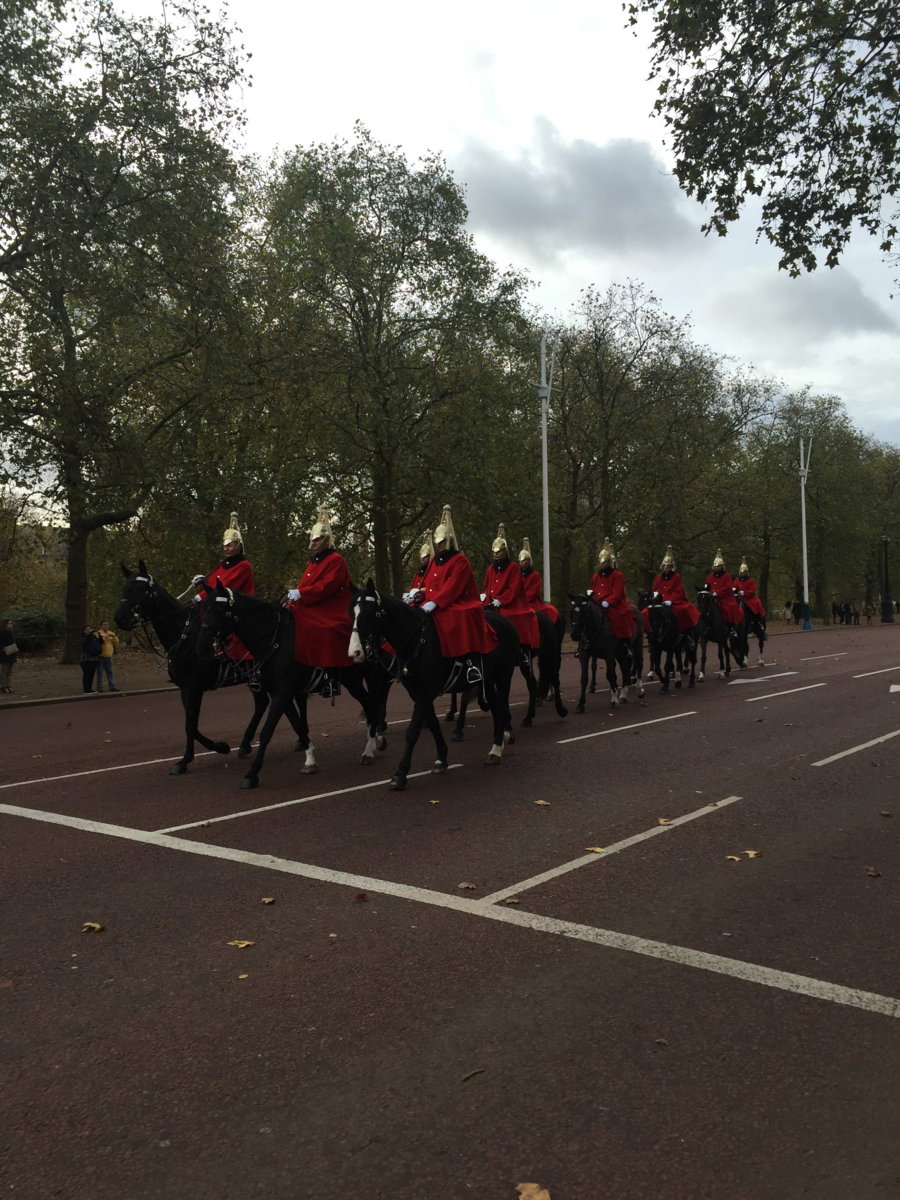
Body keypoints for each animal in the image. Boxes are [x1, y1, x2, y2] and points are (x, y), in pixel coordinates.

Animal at [113, 561, 309, 777]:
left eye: (141, 589)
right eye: (124, 588)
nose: (120, 618)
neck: (183, 634)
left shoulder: (194, 687)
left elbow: (190, 725)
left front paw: (187, 759)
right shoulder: (185, 689)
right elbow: (191, 724)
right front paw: (219, 747)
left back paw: (299, 739)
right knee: (263, 703)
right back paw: (247, 744)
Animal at [198, 580, 391, 787]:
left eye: (219, 609)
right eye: (204, 608)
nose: (201, 644)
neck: (275, 640)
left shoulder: (283, 692)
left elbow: (267, 732)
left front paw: (252, 774)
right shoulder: (281, 692)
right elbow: (298, 725)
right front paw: (310, 760)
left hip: (368, 676)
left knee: (373, 705)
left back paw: (370, 748)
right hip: (352, 681)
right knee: (369, 705)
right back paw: (374, 744)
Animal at [348, 585, 518, 792]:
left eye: (370, 613)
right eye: (351, 613)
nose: (354, 652)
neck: (416, 641)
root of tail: (506, 621)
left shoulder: (424, 693)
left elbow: (412, 732)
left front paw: (400, 774)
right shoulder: (418, 693)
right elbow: (433, 724)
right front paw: (441, 759)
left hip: (504, 674)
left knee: (500, 705)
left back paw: (497, 748)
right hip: (489, 676)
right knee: (495, 706)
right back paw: (496, 746)